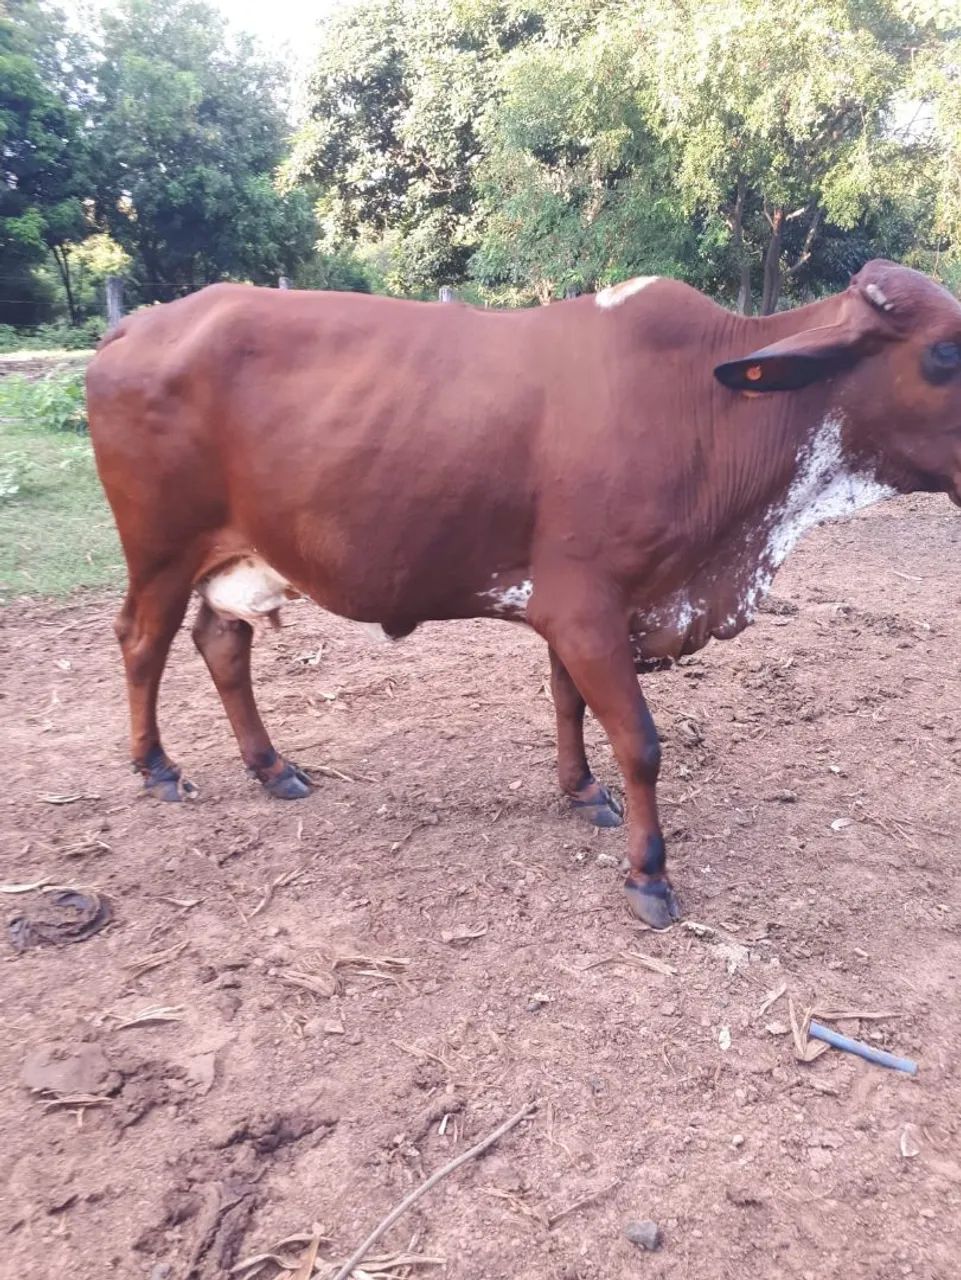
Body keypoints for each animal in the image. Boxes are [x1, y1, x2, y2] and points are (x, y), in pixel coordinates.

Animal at [86, 259, 961, 928]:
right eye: (945, 353)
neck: (709, 407)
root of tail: (141, 324)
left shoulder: (575, 612)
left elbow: (567, 702)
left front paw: (581, 791)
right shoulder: (586, 609)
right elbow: (640, 742)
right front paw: (648, 874)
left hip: (231, 557)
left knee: (221, 643)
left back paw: (271, 766)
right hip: (161, 550)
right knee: (142, 641)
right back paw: (157, 767)